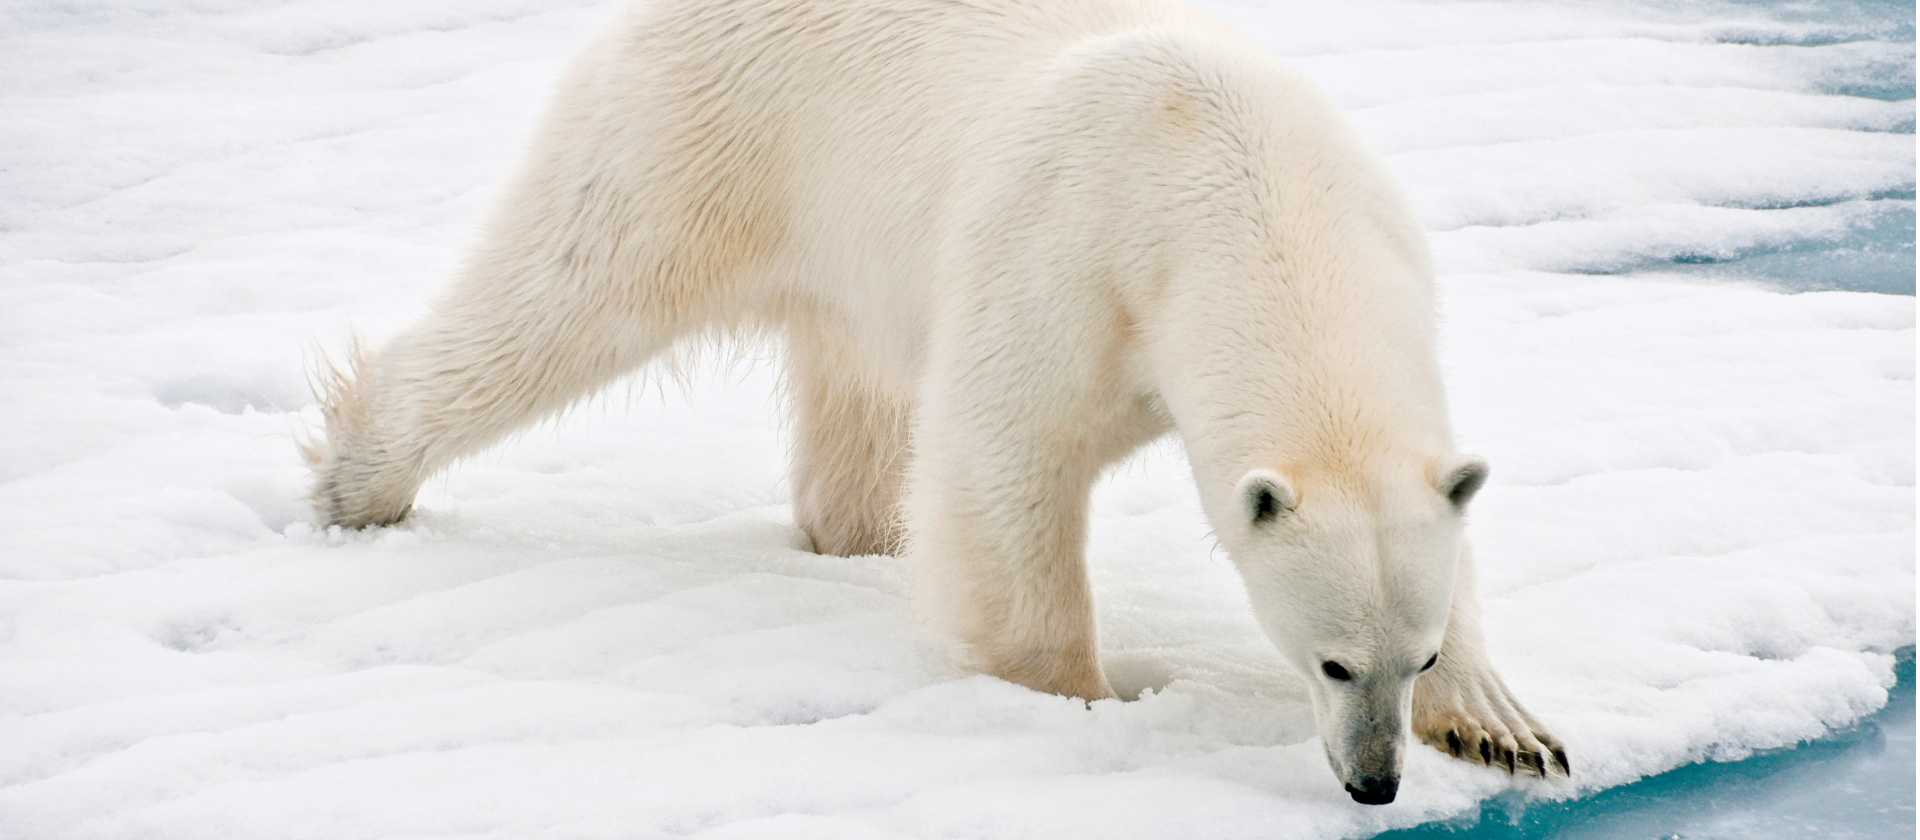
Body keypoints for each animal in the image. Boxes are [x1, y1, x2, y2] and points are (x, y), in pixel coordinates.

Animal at [303, 0, 1566, 803]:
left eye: (1415, 657)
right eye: (1332, 664)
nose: (1375, 782)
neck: (1245, 189)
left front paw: (1508, 730)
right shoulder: (1074, 252)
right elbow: (1004, 459)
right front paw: (1081, 700)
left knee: (855, 402)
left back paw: (858, 533)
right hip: (707, 130)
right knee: (565, 295)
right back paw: (359, 478)